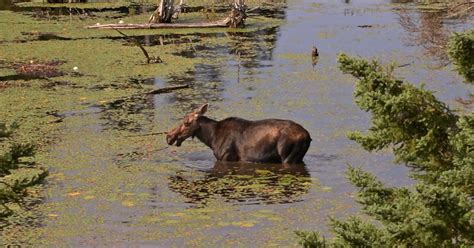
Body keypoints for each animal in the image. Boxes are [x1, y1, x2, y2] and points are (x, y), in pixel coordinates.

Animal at [167, 103, 312, 164]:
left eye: (186, 122)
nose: (169, 136)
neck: (211, 138)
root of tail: (308, 137)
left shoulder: (226, 157)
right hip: (299, 157)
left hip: (287, 157)